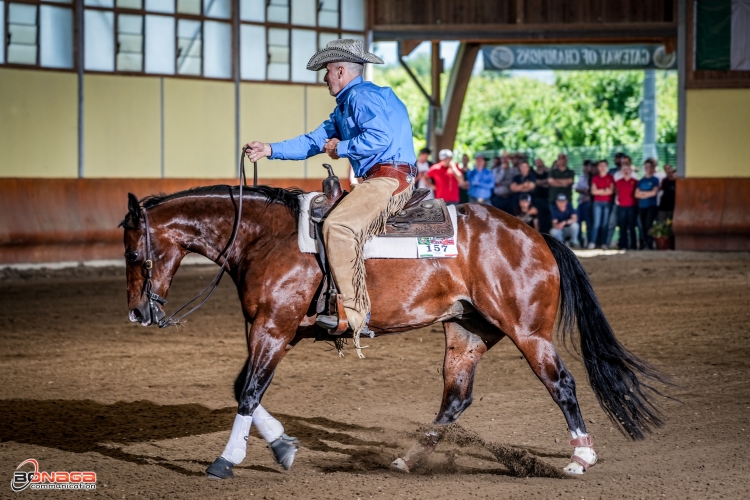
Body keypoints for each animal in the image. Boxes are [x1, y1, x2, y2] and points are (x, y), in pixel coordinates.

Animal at [120, 183, 668, 476]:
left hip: (528, 331)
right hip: (467, 332)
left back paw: (581, 457)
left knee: (562, 384)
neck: (266, 238)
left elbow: (250, 392)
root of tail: (536, 234)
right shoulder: (275, 331)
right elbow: (244, 389)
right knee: (456, 398)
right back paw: (408, 459)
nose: (138, 314)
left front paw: (227, 459)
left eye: (134, 252)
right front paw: (283, 446)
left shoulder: (272, 329)